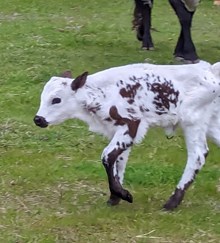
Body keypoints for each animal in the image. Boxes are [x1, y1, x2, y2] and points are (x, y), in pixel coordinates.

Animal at [33, 59, 220, 210]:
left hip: (192, 120)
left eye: (56, 99)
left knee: (198, 155)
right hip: (210, 123)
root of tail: (210, 70)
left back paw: (171, 203)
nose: (38, 119)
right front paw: (114, 198)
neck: (103, 92)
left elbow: (107, 156)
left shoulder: (132, 124)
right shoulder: (117, 131)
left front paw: (124, 195)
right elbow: (118, 161)